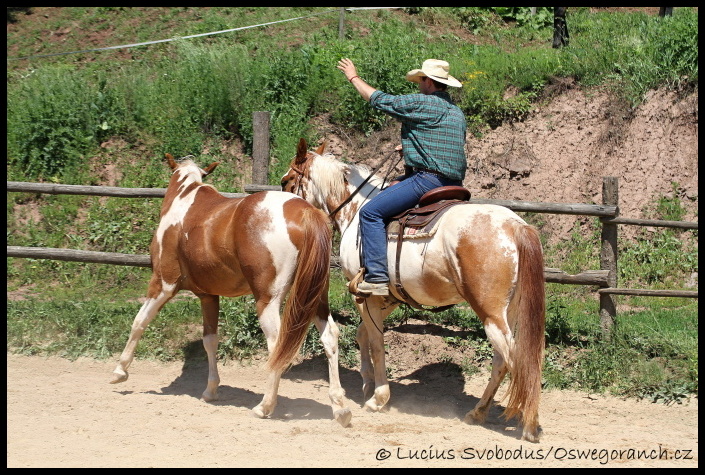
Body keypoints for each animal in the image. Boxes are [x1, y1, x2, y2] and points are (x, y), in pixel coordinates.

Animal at [110, 153, 352, 428]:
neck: (185, 199)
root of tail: (303, 211)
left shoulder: (163, 284)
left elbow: (139, 321)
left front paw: (120, 371)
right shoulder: (208, 296)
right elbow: (210, 340)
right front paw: (210, 390)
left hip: (268, 301)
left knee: (277, 345)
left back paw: (264, 406)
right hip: (314, 298)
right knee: (330, 336)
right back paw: (340, 408)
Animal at [284, 139, 548, 442]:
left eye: (286, 180)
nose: (288, 211)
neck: (357, 210)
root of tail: (515, 226)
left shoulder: (363, 294)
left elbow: (376, 343)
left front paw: (378, 398)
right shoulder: (388, 297)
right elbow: (364, 335)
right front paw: (366, 382)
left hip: (491, 314)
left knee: (516, 362)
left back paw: (529, 424)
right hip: (509, 312)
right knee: (503, 361)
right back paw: (478, 413)